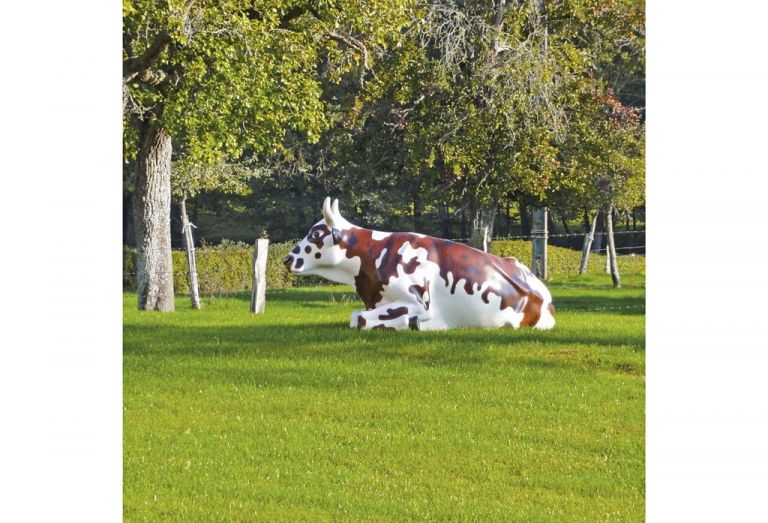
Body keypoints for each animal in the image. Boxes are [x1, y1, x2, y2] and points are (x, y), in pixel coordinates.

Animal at [284, 199, 556, 330]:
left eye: (315, 234)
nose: (287, 259)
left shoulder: (419, 302)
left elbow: (358, 318)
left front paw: (413, 324)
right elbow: (358, 315)